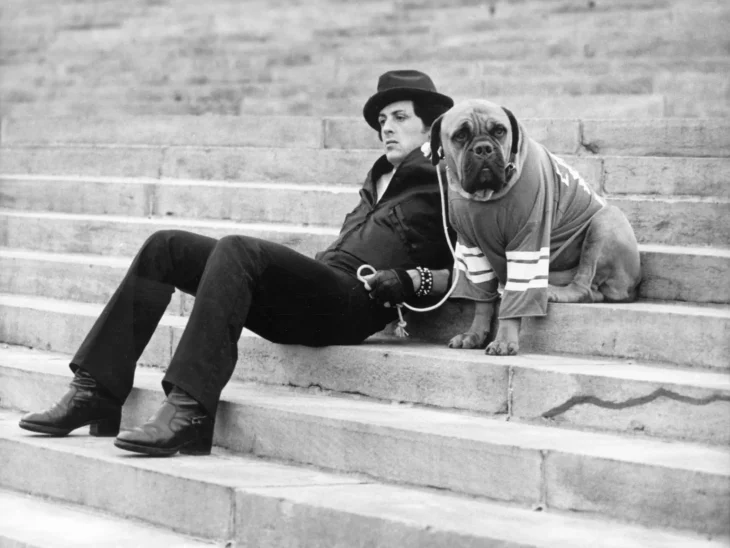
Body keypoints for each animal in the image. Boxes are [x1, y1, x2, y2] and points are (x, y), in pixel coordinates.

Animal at [426, 98, 636, 356]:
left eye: (499, 131)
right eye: (460, 135)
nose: (484, 148)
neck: (485, 197)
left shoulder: (527, 242)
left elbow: (516, 298)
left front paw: (504, 340)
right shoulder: (471, 246)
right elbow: (482, 299)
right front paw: (474, 334)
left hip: (605, 220)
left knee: (584, 287)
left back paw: (554, 292)